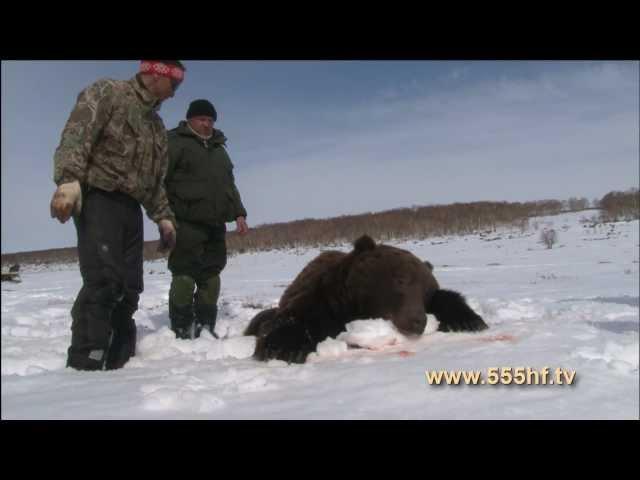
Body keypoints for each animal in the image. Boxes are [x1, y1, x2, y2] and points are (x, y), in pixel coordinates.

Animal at [245, 234, 484, 362]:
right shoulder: (320, 301)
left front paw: (469, 321)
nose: (418, 321)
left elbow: (448, 300)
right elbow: (293, 320)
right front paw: (284, 349)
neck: (353, 308)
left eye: (425, 292)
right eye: (400, 280)